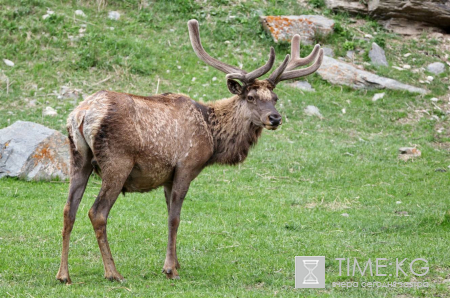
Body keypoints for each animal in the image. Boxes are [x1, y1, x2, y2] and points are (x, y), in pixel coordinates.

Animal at [56, 19, 322, 282]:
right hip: (117, 162)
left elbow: (169, 214)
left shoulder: (167, 176)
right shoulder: (187, 165)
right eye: (251, 97)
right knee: (97, 212)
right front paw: (170, 269)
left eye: (275, 98)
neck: (212, 137)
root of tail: (82, 114)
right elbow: (175, 217)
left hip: (78, 159)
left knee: (69, 209)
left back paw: (63, 275)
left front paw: (175, 262)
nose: (275, 118)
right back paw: (113, 273)